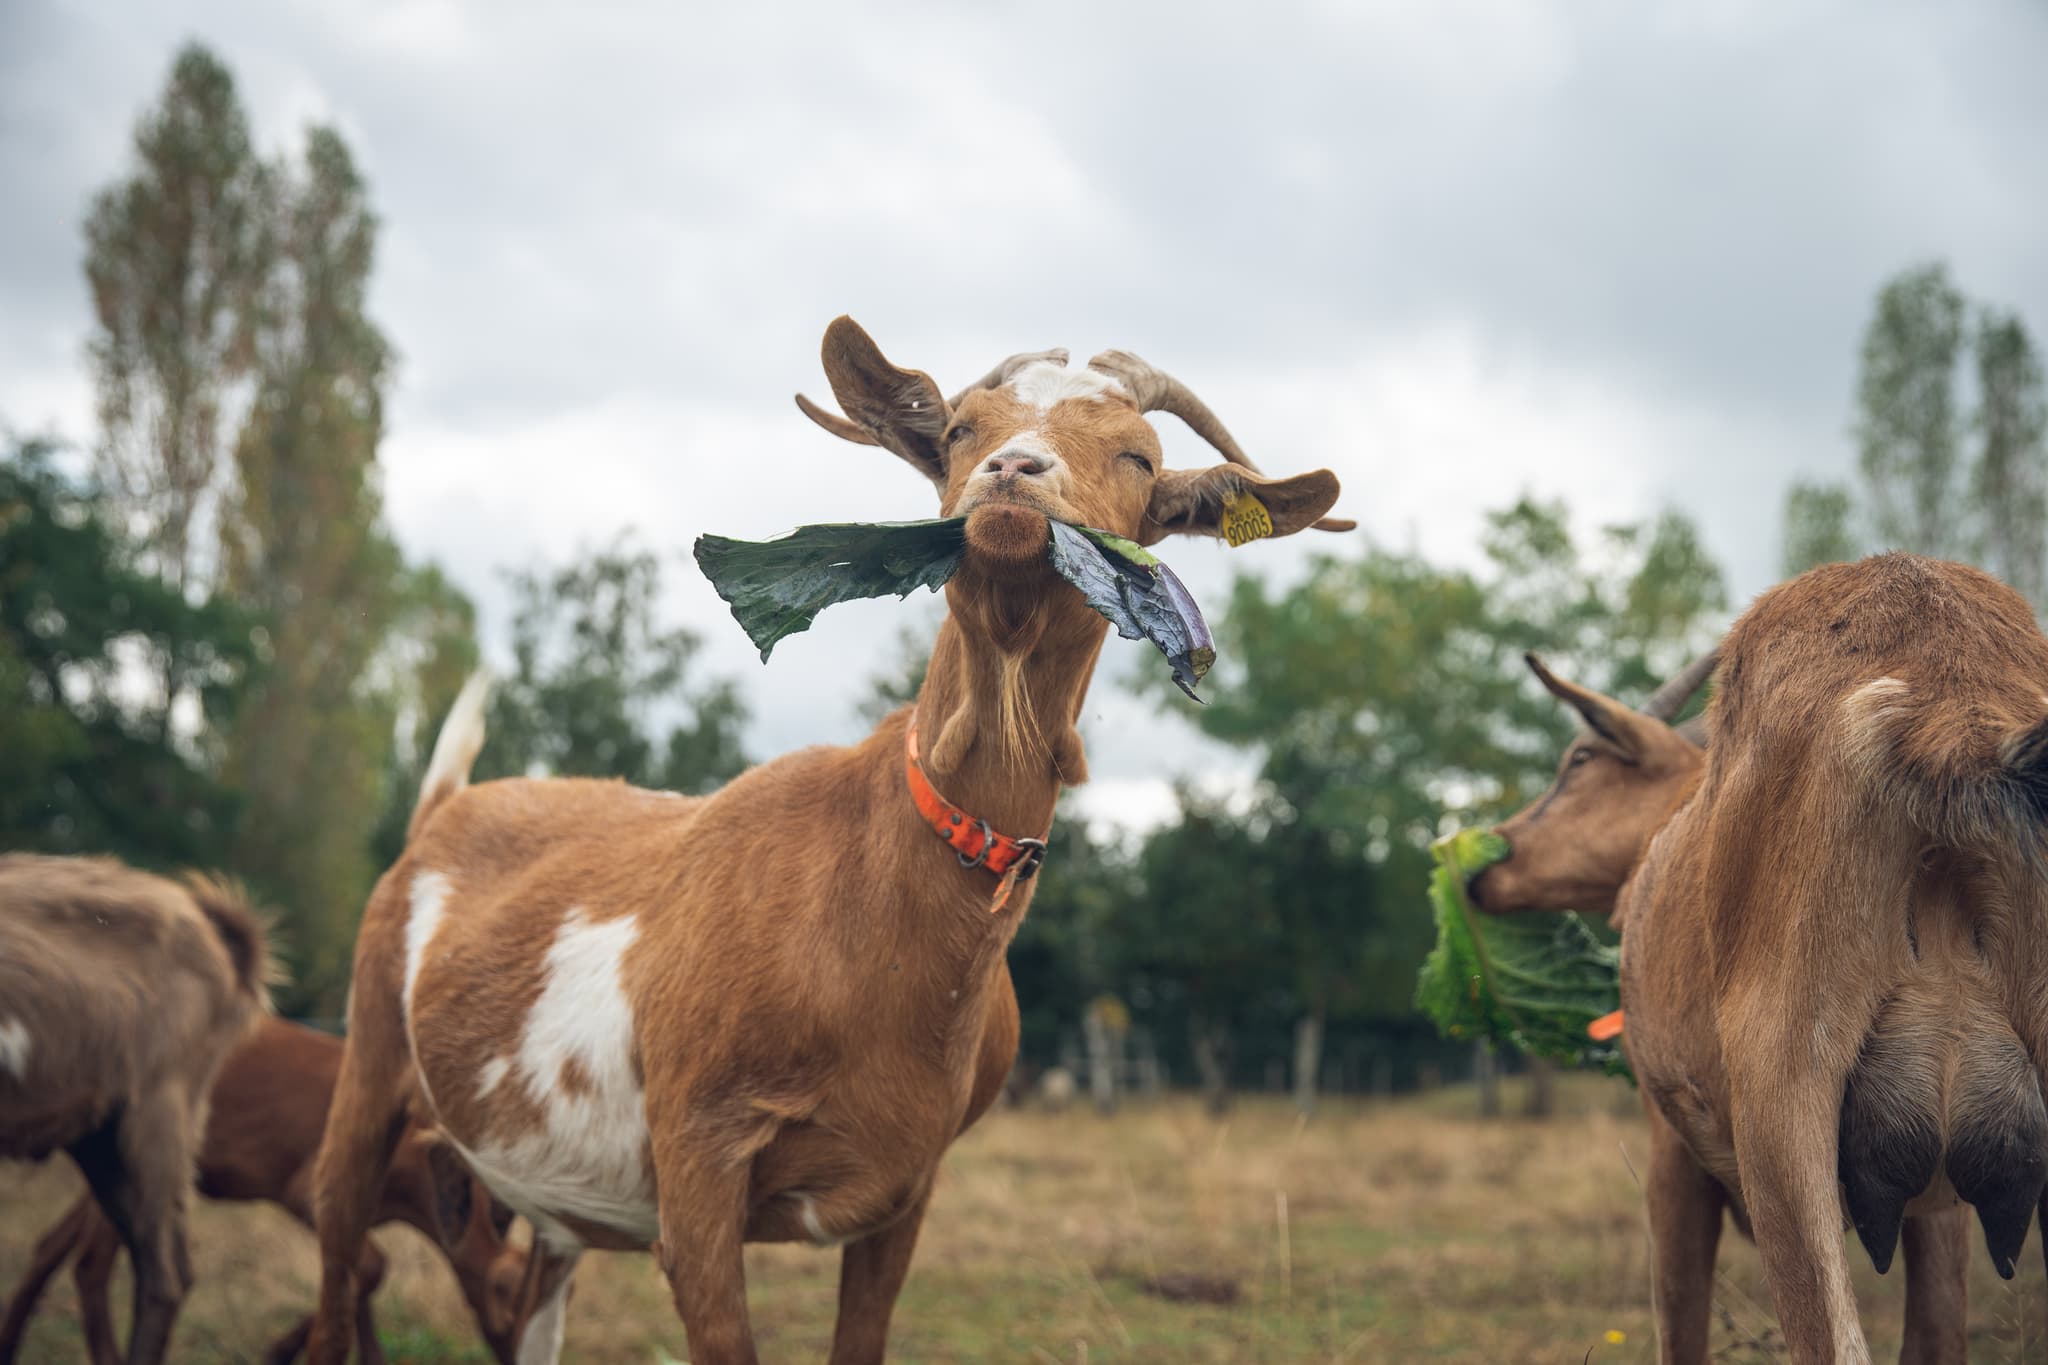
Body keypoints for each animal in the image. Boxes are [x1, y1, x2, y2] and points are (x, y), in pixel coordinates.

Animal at [0, 1015, 529, 1365]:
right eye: (521, 1312)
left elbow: (358, 1274)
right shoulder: (307, 1189)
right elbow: (369, 1268)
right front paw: (280, 1352)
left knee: (52, 1245)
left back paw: (12, 1339)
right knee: (90, 1261)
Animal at [306, 316, 1348, 1364]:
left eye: (1140, 457)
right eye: (961, 430)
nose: (1014, 472)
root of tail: (442, 812)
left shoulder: (907, 1192)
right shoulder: (697, 1165)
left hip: (553, 1201)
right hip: (364, 1067)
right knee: (338, 1243)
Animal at [1472, 551, 2048, 1364]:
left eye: (1580, 757)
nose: (1484, 866)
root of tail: (1951, 713)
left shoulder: (1671, 1151)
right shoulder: (1939, 1205)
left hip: (1781, 1095)